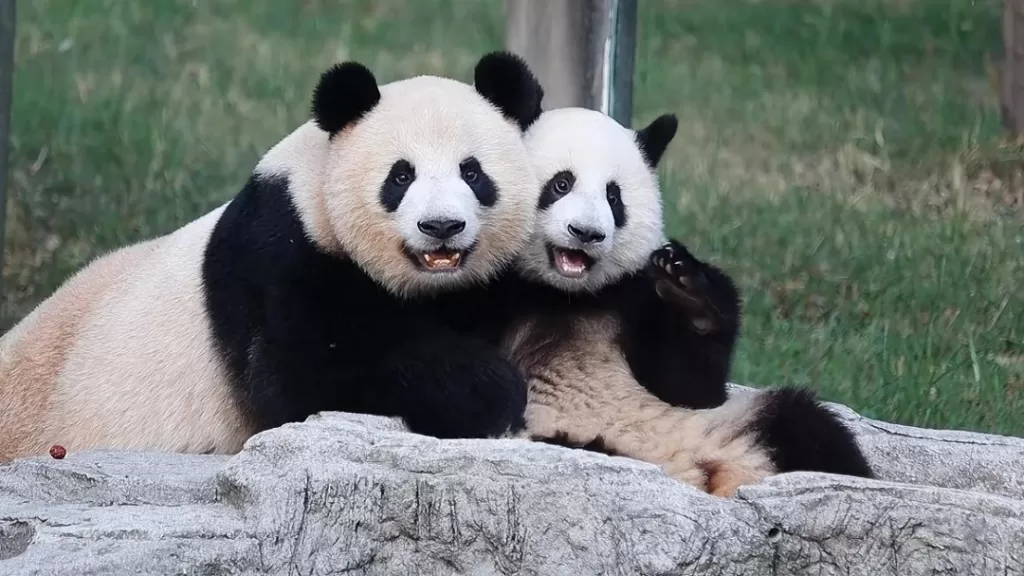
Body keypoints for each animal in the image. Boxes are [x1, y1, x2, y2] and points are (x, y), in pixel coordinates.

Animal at [0, 51, 545, 461]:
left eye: (472, 173)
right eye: (400, 176)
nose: (441, 227)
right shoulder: (281, 251)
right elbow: (307, 378)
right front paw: (486, 390)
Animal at [492, 107, 873, 496]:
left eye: (614, 198)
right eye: (561, 184)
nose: (586, 233)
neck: (564, 293)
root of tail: (697, 476)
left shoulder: (632, 297)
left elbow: (690, 387)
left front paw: (688, 293)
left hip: (723, 428)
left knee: (810, 429)